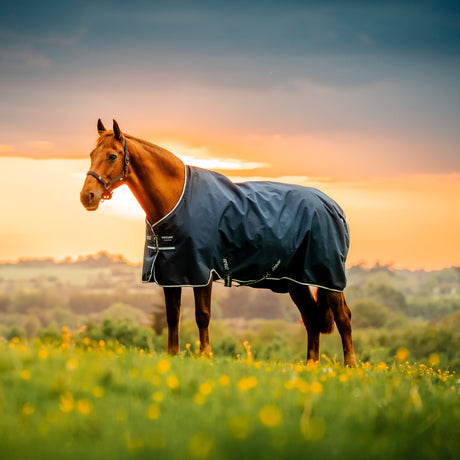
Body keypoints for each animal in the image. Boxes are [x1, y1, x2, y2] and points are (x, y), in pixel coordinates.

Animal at [81, 118, 358, 366]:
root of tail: (333, 207)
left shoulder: (201, 271)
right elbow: (172, 317)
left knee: (343, 318)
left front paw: (206, 355)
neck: (176, 199)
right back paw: (311, 366)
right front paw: (173, 355)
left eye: (112, 156)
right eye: (92, 153)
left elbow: (202, 315)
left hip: (329, 277)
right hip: (295, 281)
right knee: (311, 318)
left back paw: (350, 367)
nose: (87, 196)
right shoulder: (171, 274)